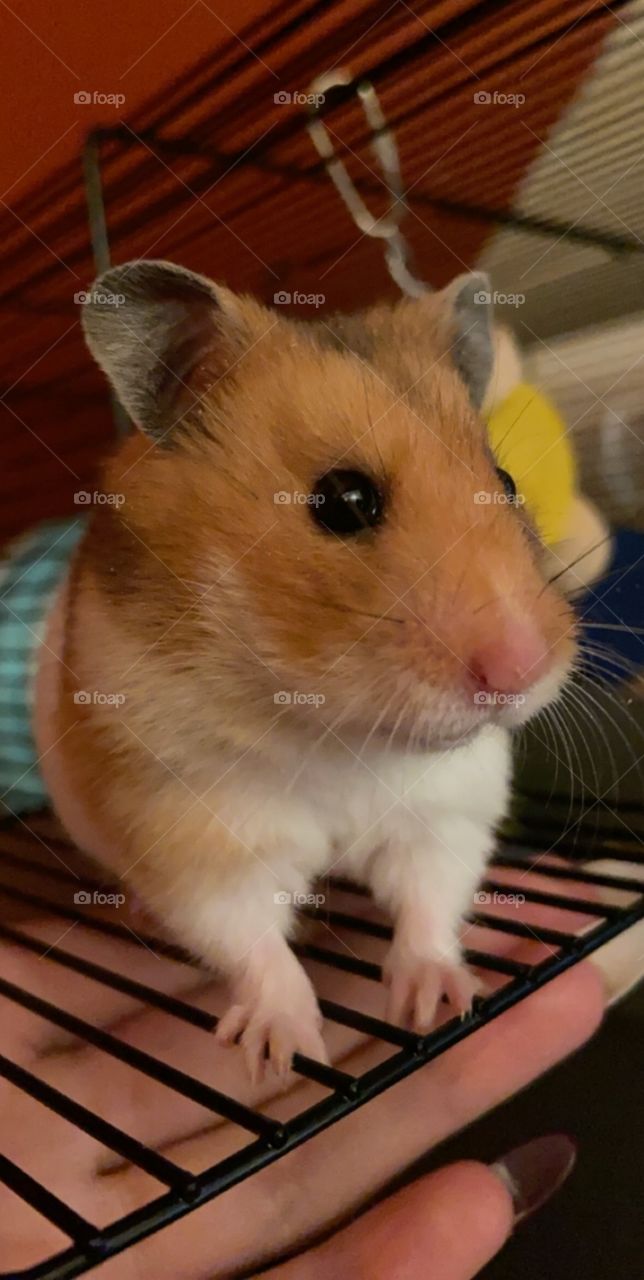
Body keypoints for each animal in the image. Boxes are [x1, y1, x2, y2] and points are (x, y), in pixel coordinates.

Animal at [34, 261, 576, 1080]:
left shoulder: (446, 810)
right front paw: (279, 1051)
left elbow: (430, 898)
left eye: (508, 483)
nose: (522, 669)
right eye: (343, 501)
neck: (338, 732)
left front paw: (435, 1002)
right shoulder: (198, 829)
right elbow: (252, 941)